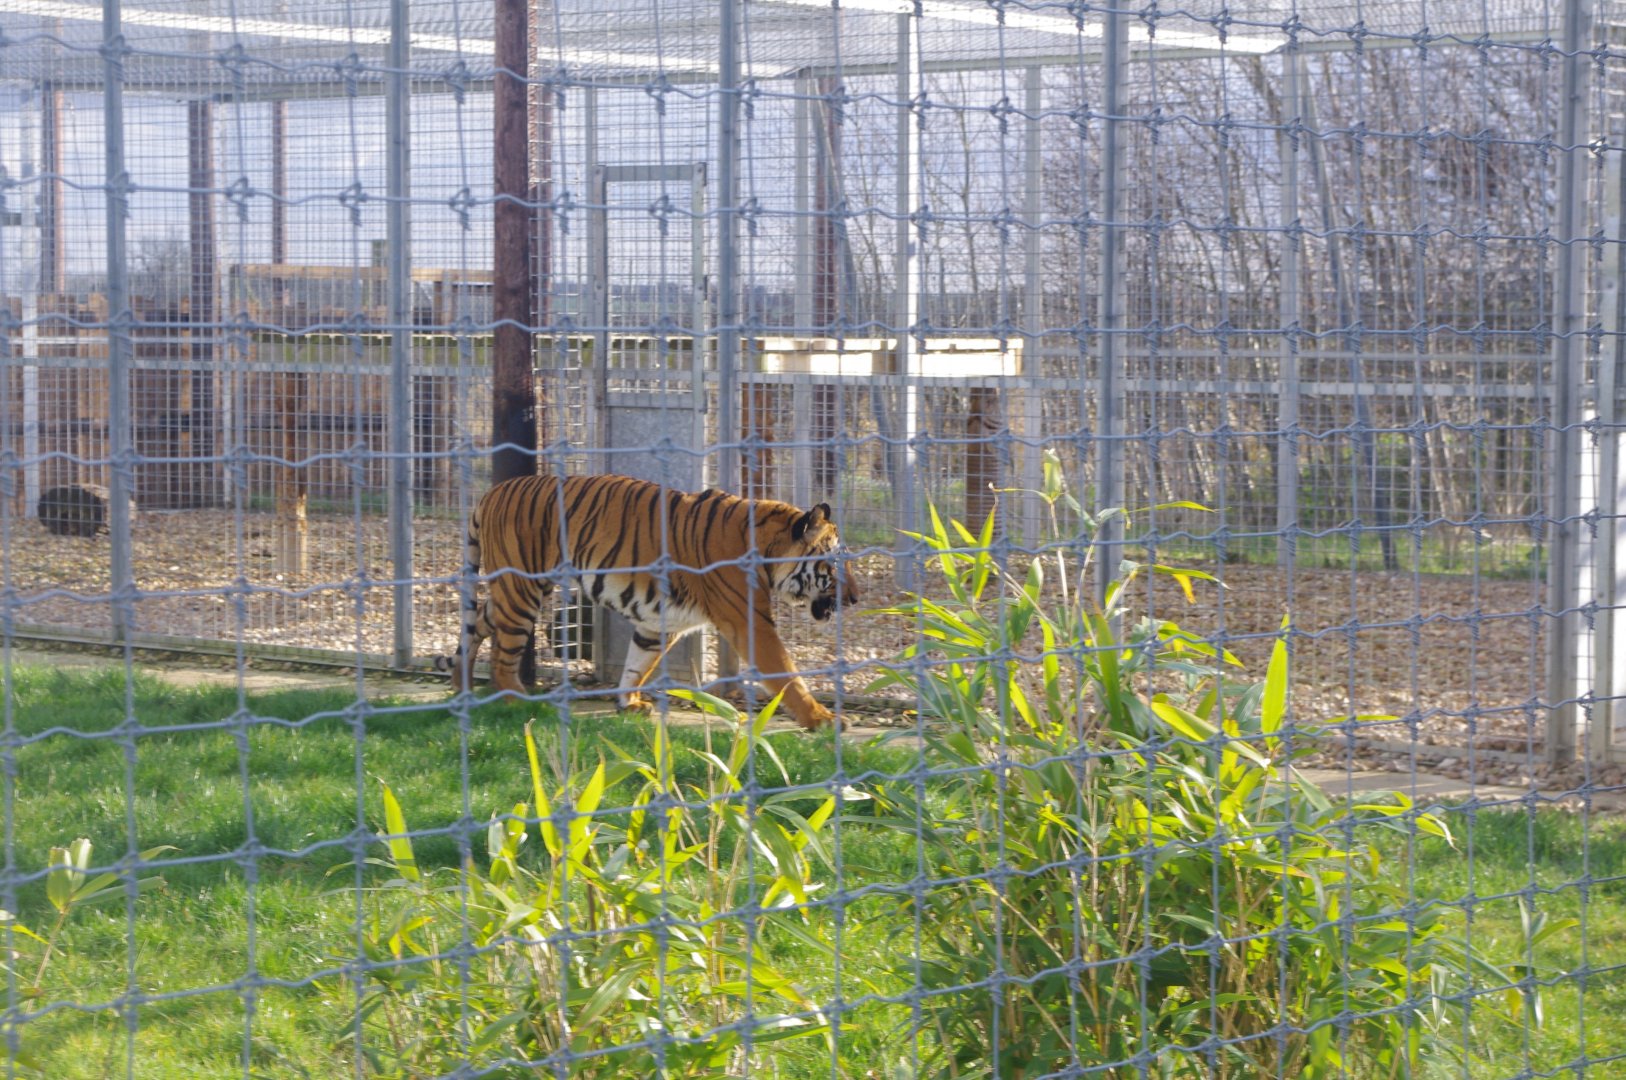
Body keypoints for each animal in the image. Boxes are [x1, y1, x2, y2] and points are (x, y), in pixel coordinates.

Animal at [433, 473, 856, 731]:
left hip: (511, 593)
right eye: (834, 565)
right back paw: (516, 701)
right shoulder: (747, 620)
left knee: (477, 624)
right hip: (521, 590)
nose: (855, 598)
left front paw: (629, 703)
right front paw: (823, 719)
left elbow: (638, 663)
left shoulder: (658, 623)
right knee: (503, 652)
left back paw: (462, 684)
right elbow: (787, 673)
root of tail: (491, 493)